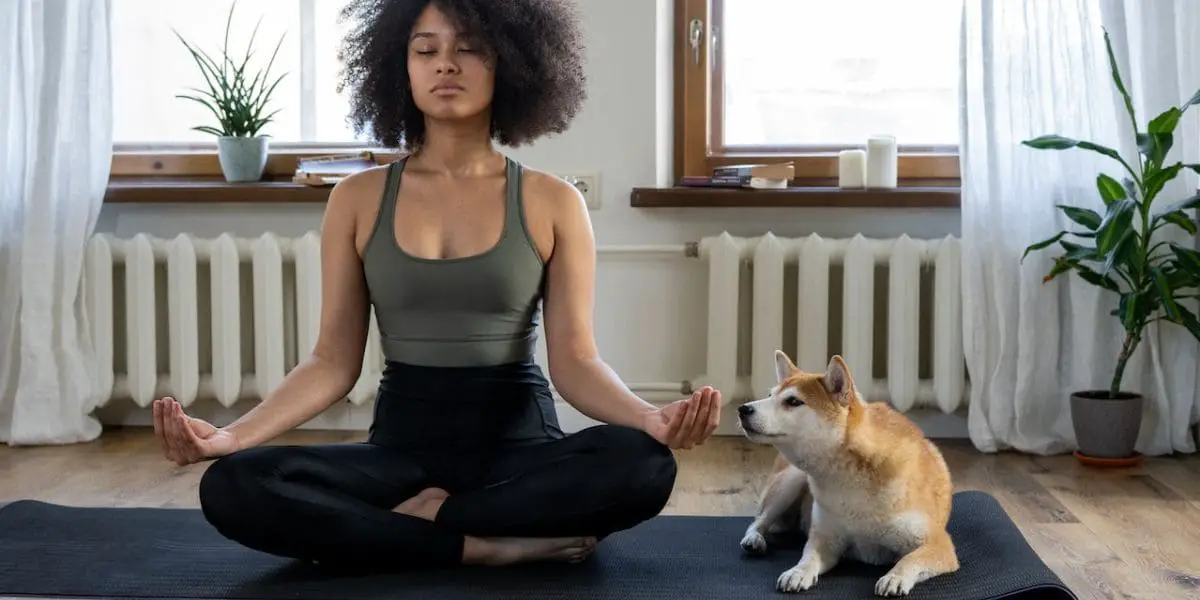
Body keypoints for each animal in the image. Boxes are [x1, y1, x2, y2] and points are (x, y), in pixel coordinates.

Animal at [729, 350, 955, 597]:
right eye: (769, 395)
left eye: (793, 401)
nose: (743, 409)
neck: (849, 477)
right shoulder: (826, 539)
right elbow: (808, 557)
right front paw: (797, 572)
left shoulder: (938, 544)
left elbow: (909, 560)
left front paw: (894, 577)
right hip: (791, 481)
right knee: (758, 520)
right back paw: (754, 539)